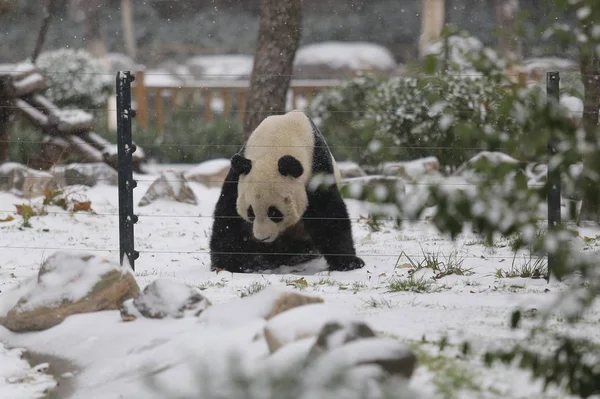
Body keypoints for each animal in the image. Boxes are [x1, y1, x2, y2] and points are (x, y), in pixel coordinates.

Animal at [211, 109, 366, 274]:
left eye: (274, 213)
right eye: (250, 212)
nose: (262, 238)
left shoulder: (316, 166)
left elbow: (328, 214)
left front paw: (349, 263)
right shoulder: (239, 173)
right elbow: (228, 218)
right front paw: (228, 264)